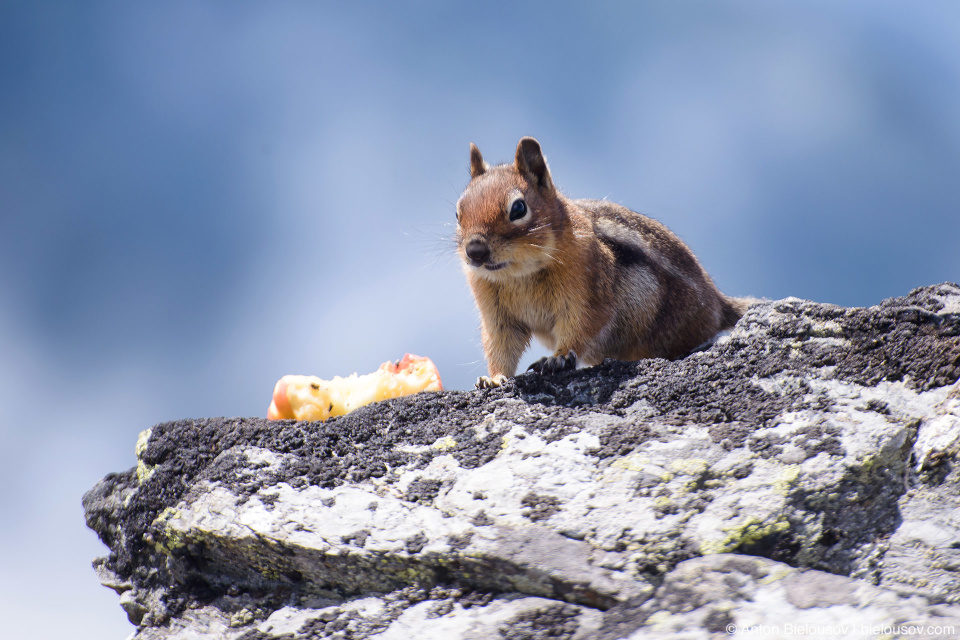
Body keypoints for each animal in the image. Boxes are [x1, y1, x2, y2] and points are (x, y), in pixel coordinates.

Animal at [458, 138, 752, 388]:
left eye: (518, 208)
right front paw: (493, 378)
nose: (475, 251)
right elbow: (501, 346)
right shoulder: (496, 315)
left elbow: (581, 326)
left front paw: (558, 358)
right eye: (459, 212)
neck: (519, 274)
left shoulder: (587, 291)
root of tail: (718, 302)